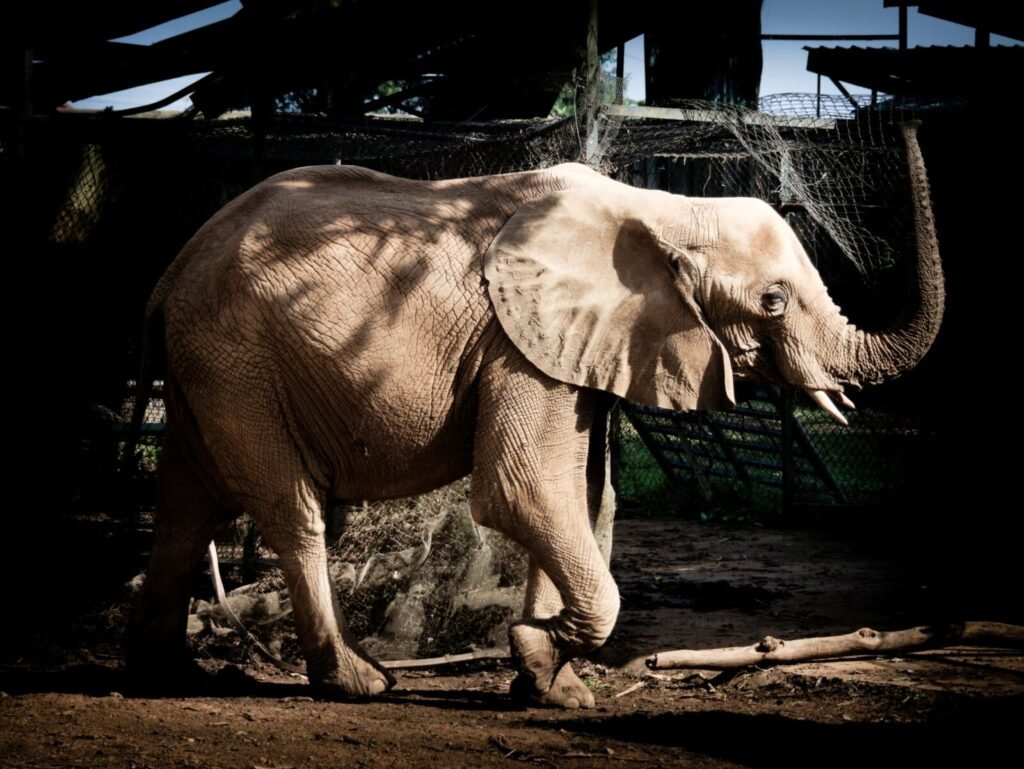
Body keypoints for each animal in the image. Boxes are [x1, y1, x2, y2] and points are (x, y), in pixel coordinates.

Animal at [126, 122, 943, 709]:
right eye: (773, 300)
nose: (905, 122)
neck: (660, 206)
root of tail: (166, 278)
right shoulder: (516, 342)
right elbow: (524, 488)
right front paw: (537, 652)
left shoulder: (576, 344)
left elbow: (582, 492)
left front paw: (551, 684)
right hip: (238, 362)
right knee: (289, 508)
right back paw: (357, 682)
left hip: (210, 370)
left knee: (185, 506)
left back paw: (172, 676)